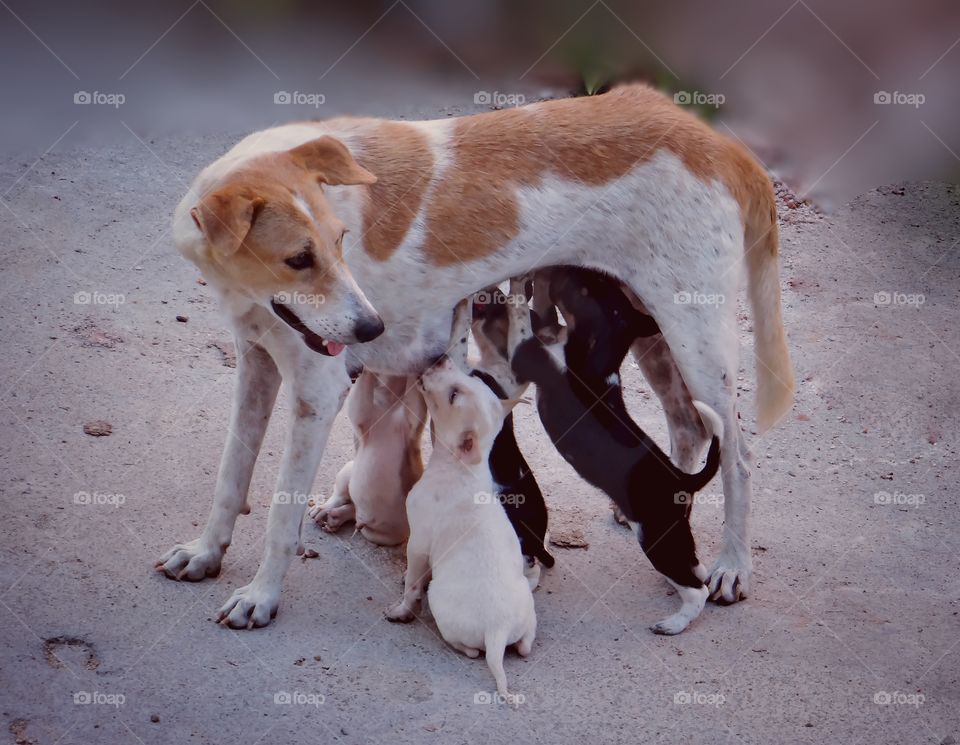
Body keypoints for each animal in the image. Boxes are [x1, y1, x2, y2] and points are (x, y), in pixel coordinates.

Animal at [310, 372, 426, 548]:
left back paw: (336, 517)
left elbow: (414, 396)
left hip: (381, 535)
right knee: (340, 496)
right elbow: (363, 390)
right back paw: (324, 509)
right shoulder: (362, 414)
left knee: (353, 511)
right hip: (348, 470)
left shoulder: (412, 419)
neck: (390, 403)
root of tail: (362, 518)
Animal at [386, 354, 536, 696]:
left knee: (470, 649)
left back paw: (462, 648)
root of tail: (497, 629)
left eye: (454, 396)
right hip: (526, 605)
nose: (440, 358)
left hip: (441, 602)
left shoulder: (418, 544)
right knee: (524, 645)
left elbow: (412, 582)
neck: (459, 466)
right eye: (472, 378)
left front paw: (401, 609)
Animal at [512, 268, 724, 632]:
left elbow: (527, 322)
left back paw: (673, 624)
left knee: (697, 591)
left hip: (655, 538)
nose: (565, 269)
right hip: (675, 535)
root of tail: (683, 479)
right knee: (696, 570)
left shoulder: (533, 357)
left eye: (585, 289)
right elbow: (540, 320)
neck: (598, 357)